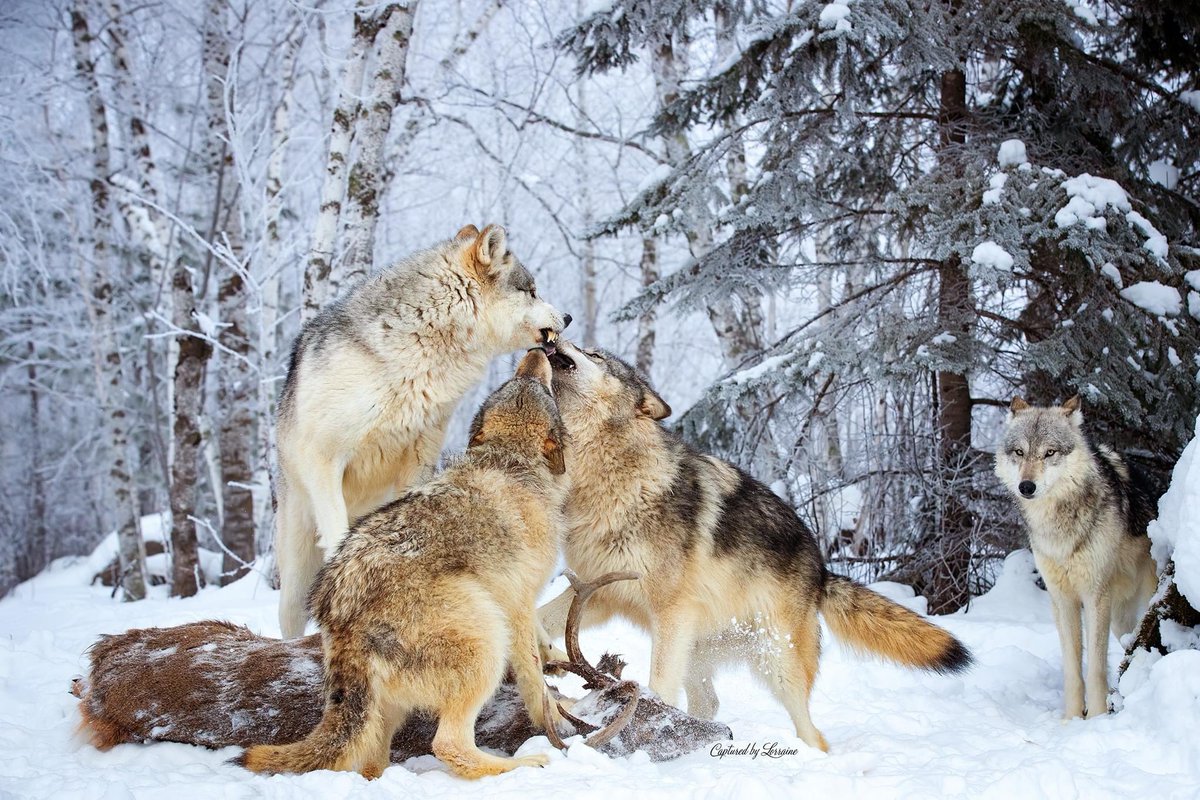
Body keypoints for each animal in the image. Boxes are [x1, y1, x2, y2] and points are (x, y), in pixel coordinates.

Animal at [240, 349, 569, 780]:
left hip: (386, 714)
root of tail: (341, 614)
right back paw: (525, 764)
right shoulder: (518, 604)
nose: (538, 352)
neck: (509, 461)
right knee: (448, 745)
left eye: (518, 382)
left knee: (370, 764)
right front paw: (557, 721)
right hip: (486, 638)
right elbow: (535, 679)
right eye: (536, 385)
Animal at [275, 224, 568, 638]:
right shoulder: (323, 459)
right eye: (532, 290)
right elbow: (334, 532)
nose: (568, 317)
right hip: (294, 571)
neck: (417, 355)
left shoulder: (418, 459)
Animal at [537, 340, 972, 752]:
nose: (554, 338)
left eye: (594, 355)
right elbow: (541, 618)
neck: (606, 475)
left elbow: (657, 684)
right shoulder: (600, 591)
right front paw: (543, 654)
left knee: (812, 733)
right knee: (709, 704)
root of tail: (822, 570)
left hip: (774, 664)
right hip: (698, 650)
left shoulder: (669, 610)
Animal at [994, 395, 1160, 719]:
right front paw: (1070, 719)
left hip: (1143, 601)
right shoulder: (1062, 598)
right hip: (1120, 620)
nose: (1026, 486)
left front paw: (1096, 717)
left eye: (1049, 453)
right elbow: (1073, 668)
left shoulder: (1095, 595)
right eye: (1020, 452)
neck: (1059, 525)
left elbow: (1095, 667)